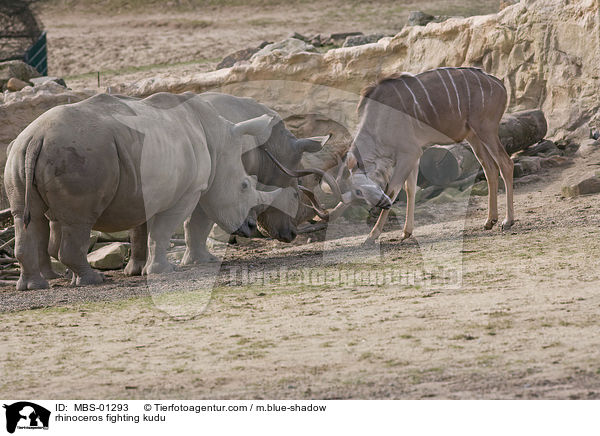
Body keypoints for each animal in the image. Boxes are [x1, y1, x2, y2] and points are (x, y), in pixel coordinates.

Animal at [4, 92, 286, 290]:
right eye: (244, 186)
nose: (250, 227)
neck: (218, 141)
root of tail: (36, 138)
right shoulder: (187, 192)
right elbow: (162, 230)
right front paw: (163, 271)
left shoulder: (143, 190)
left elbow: (141, 230)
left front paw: (137, 271)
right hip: (79, 157)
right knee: (78, 220)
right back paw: (92, 280)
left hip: (18, 154)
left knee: (28, 218)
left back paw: (34, 286)